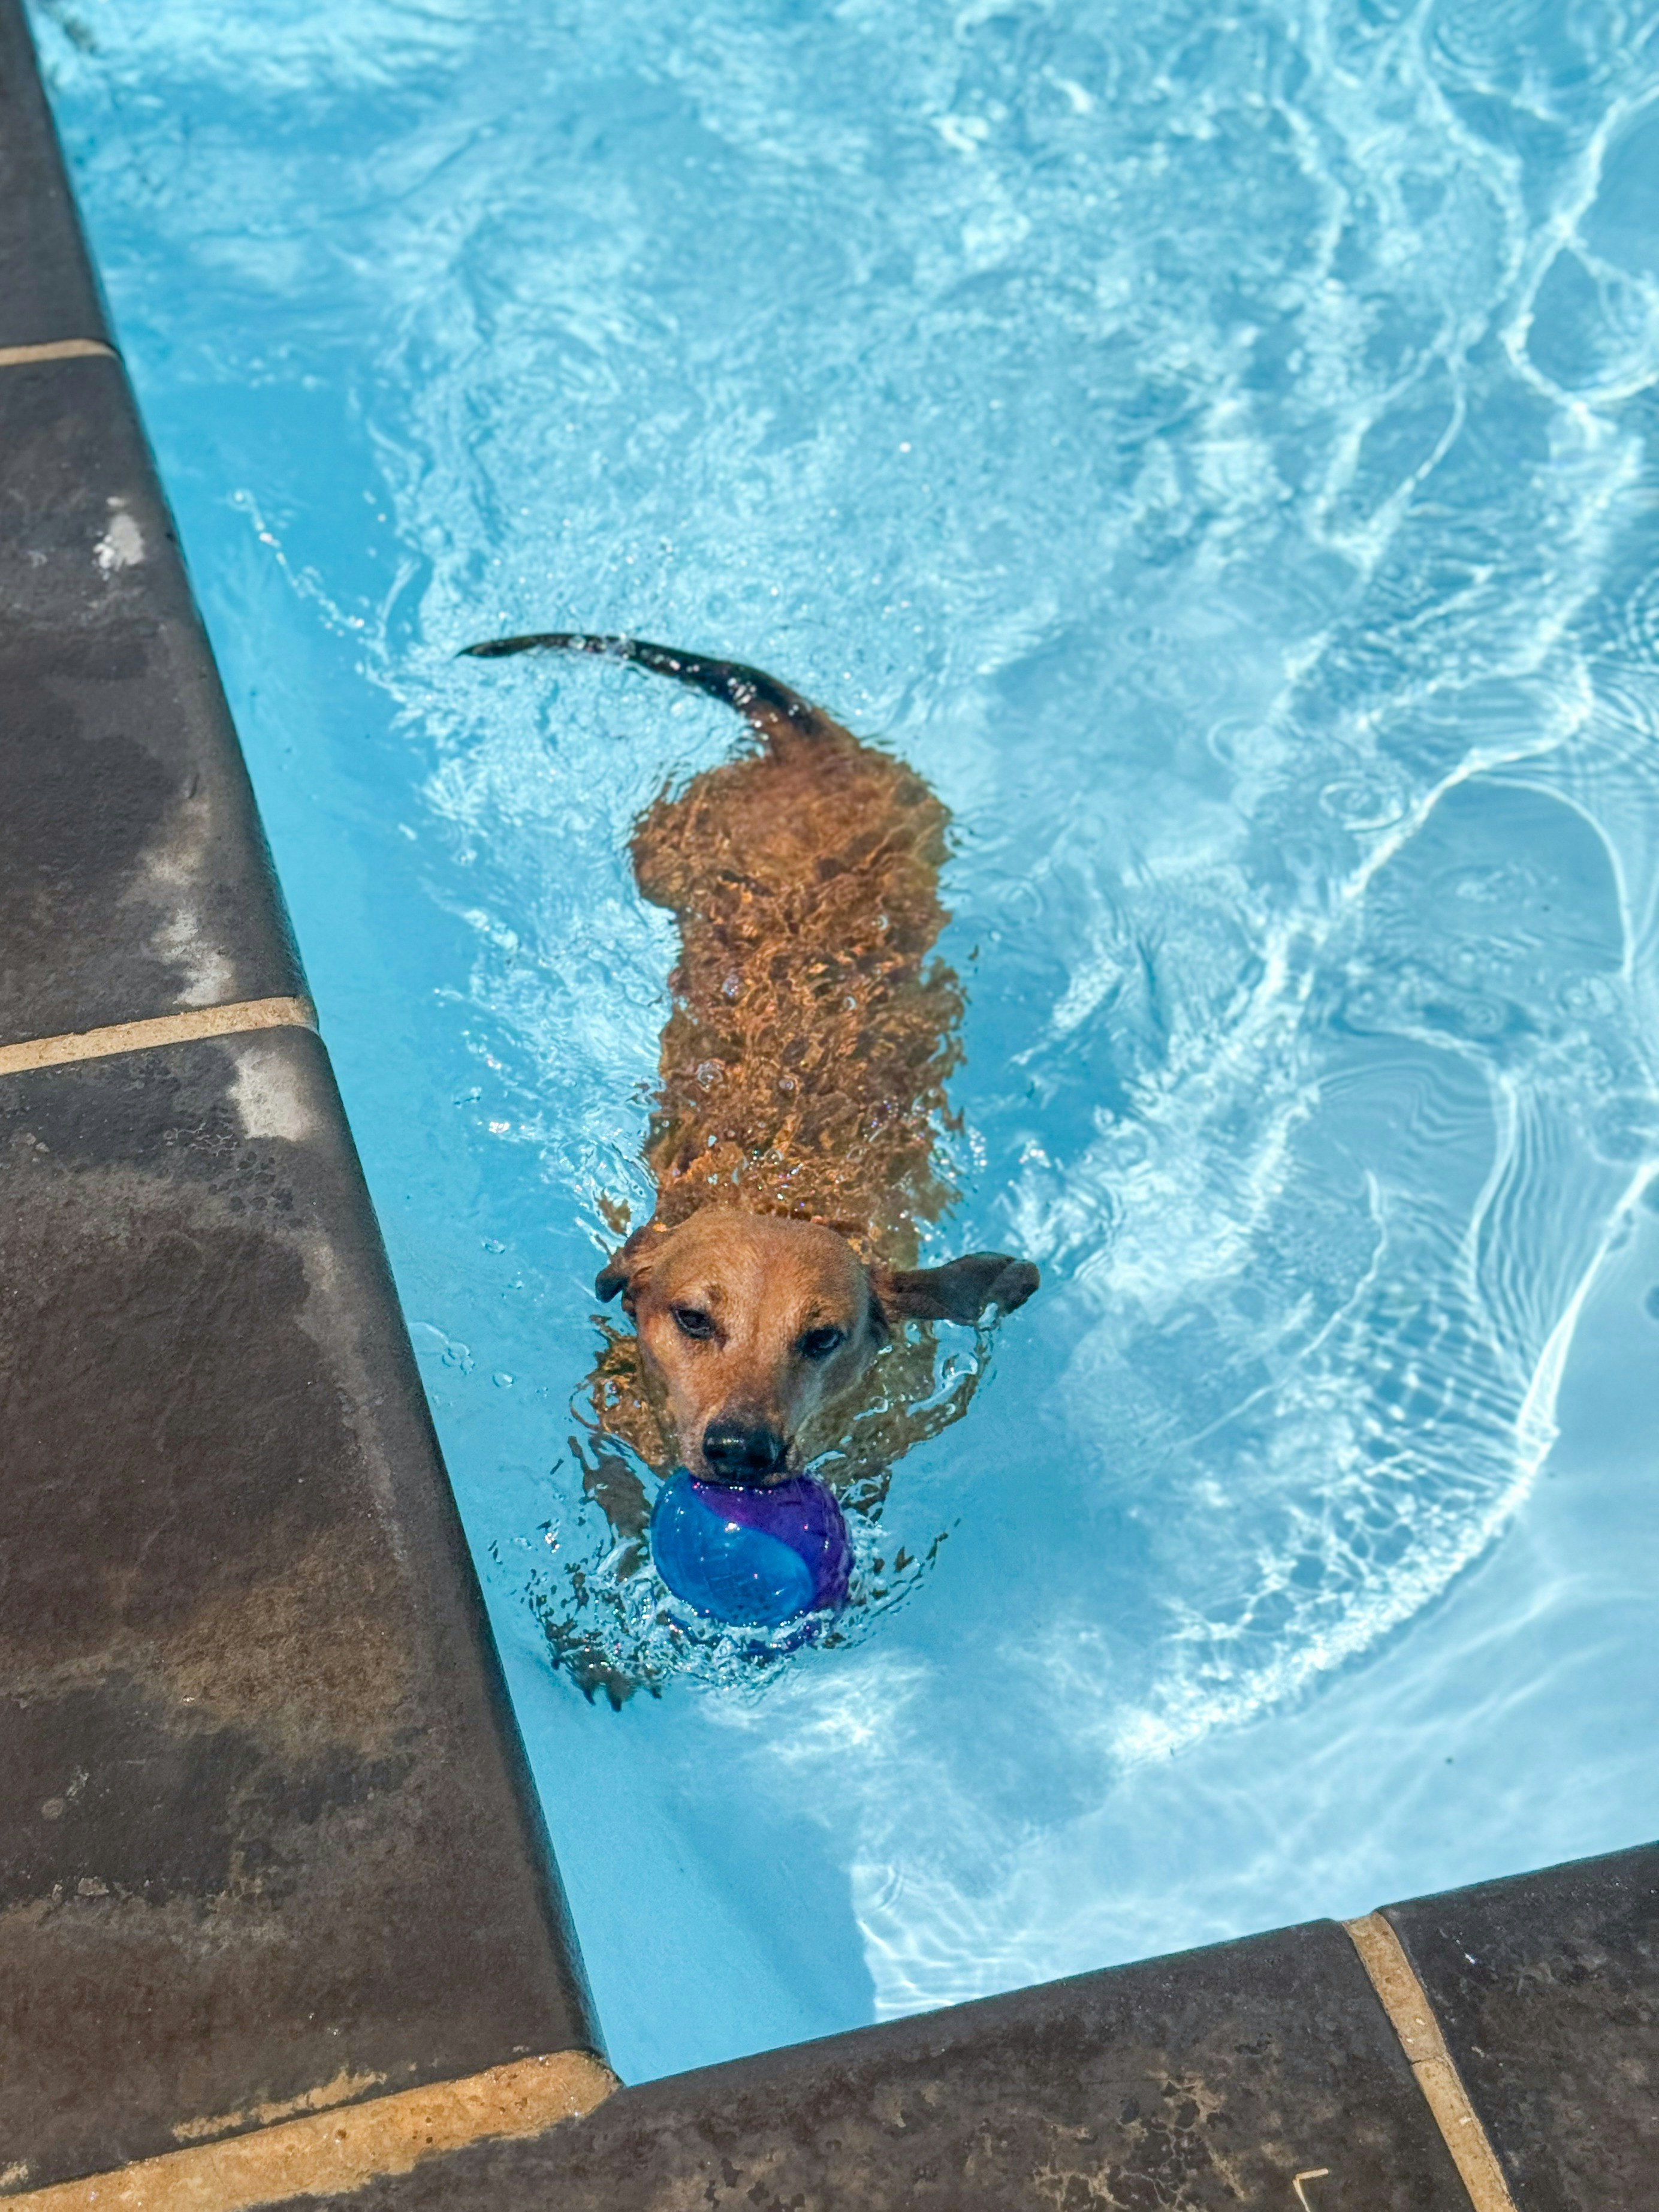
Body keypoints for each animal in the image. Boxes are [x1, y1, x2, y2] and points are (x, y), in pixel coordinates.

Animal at [464, 634, 1038, 1510]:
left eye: (822, 1337)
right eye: (695, 1320)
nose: (741, 1447)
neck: (778, 1188)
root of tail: (810, 742)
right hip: (665, 847)